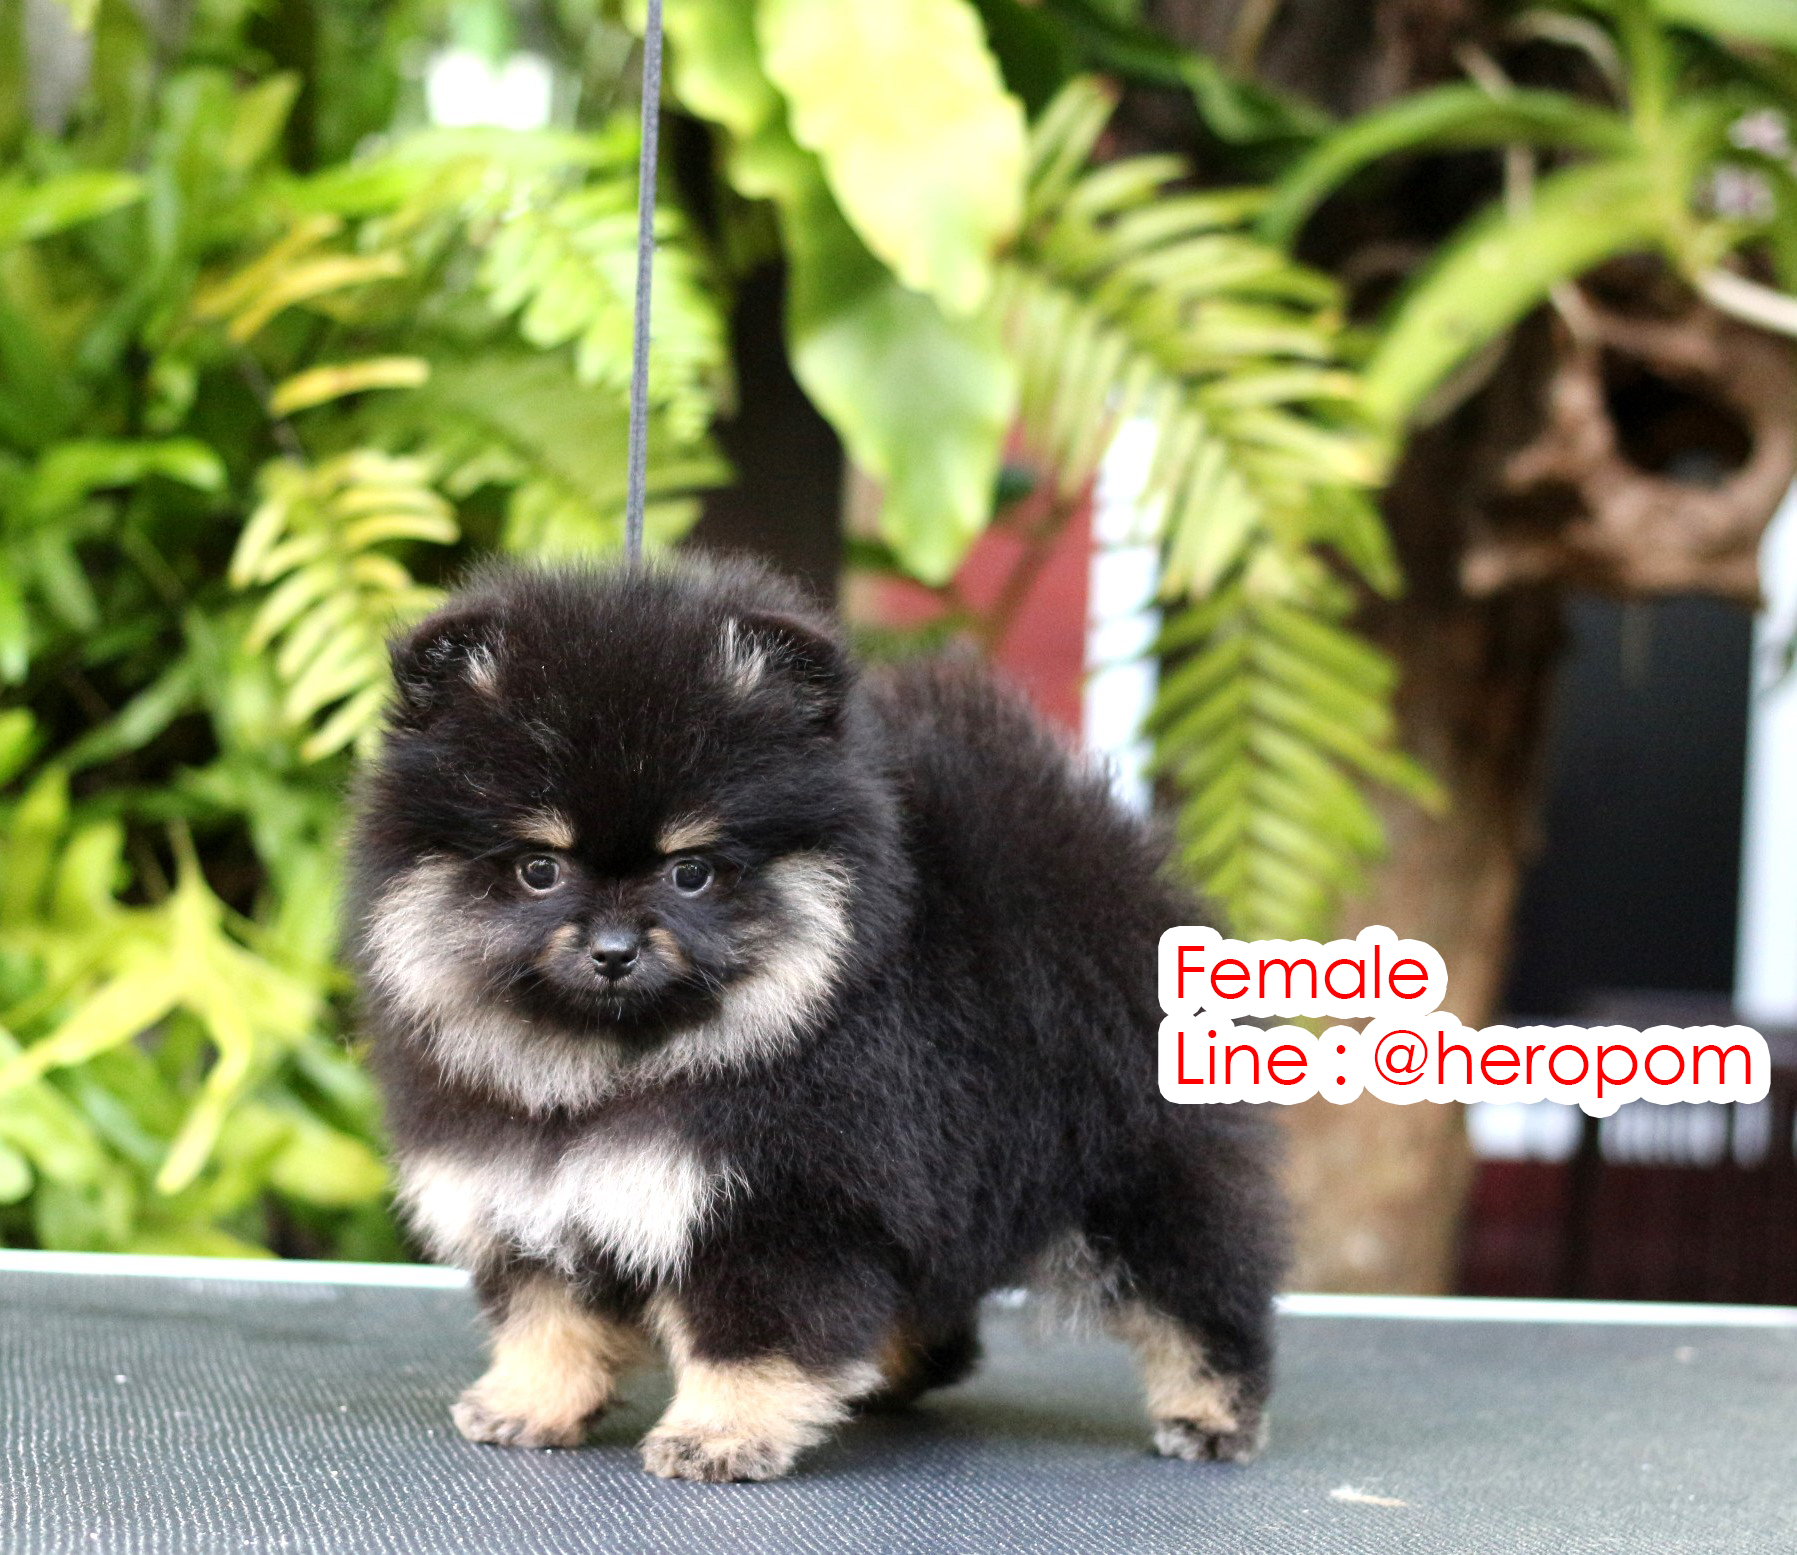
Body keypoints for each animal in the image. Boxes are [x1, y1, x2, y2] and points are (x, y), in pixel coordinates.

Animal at [346, 554, 1286, 1482]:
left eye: (691, 872)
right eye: (539, 868)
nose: (614, 948)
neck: (613, 1066)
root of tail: (1095, 860)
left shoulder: (778, 1203)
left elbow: (751, 1340)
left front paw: (721, 1433)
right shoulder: (529, 1193)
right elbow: (547, 1315)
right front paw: (528, 1402)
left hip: (1134, 1160)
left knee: (1200, 1288)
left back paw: (1212, 1410)